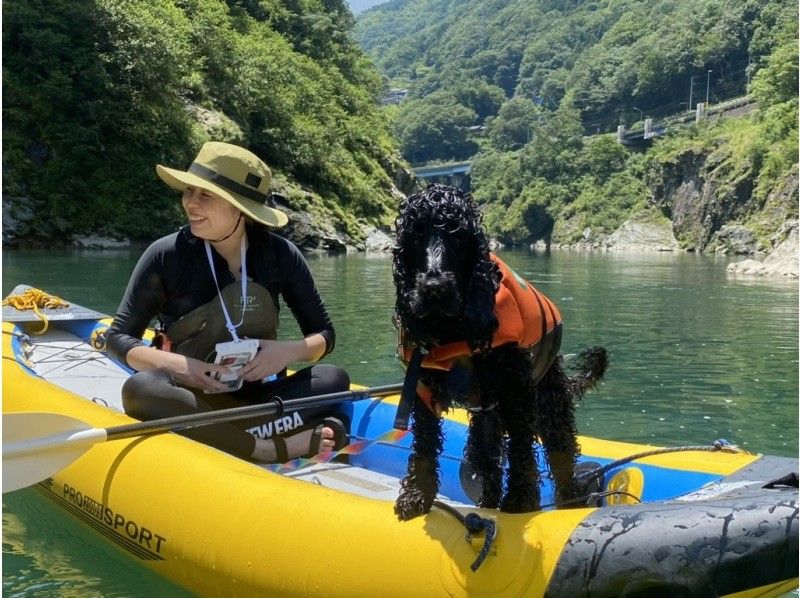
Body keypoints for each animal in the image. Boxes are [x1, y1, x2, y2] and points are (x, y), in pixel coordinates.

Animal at [392, 185, 608, 524]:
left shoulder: (516, 389)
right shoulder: (423, 385)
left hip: (549, 406)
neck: (452, 329)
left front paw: (521, 499)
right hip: (484, 426)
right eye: (415, 235)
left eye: (457, 236)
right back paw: (488, 506)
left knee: (561, 457)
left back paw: (568, 504)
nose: (434, 287)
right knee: (487, 465)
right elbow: (425, 445)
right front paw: (417, 495)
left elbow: (521, 449)